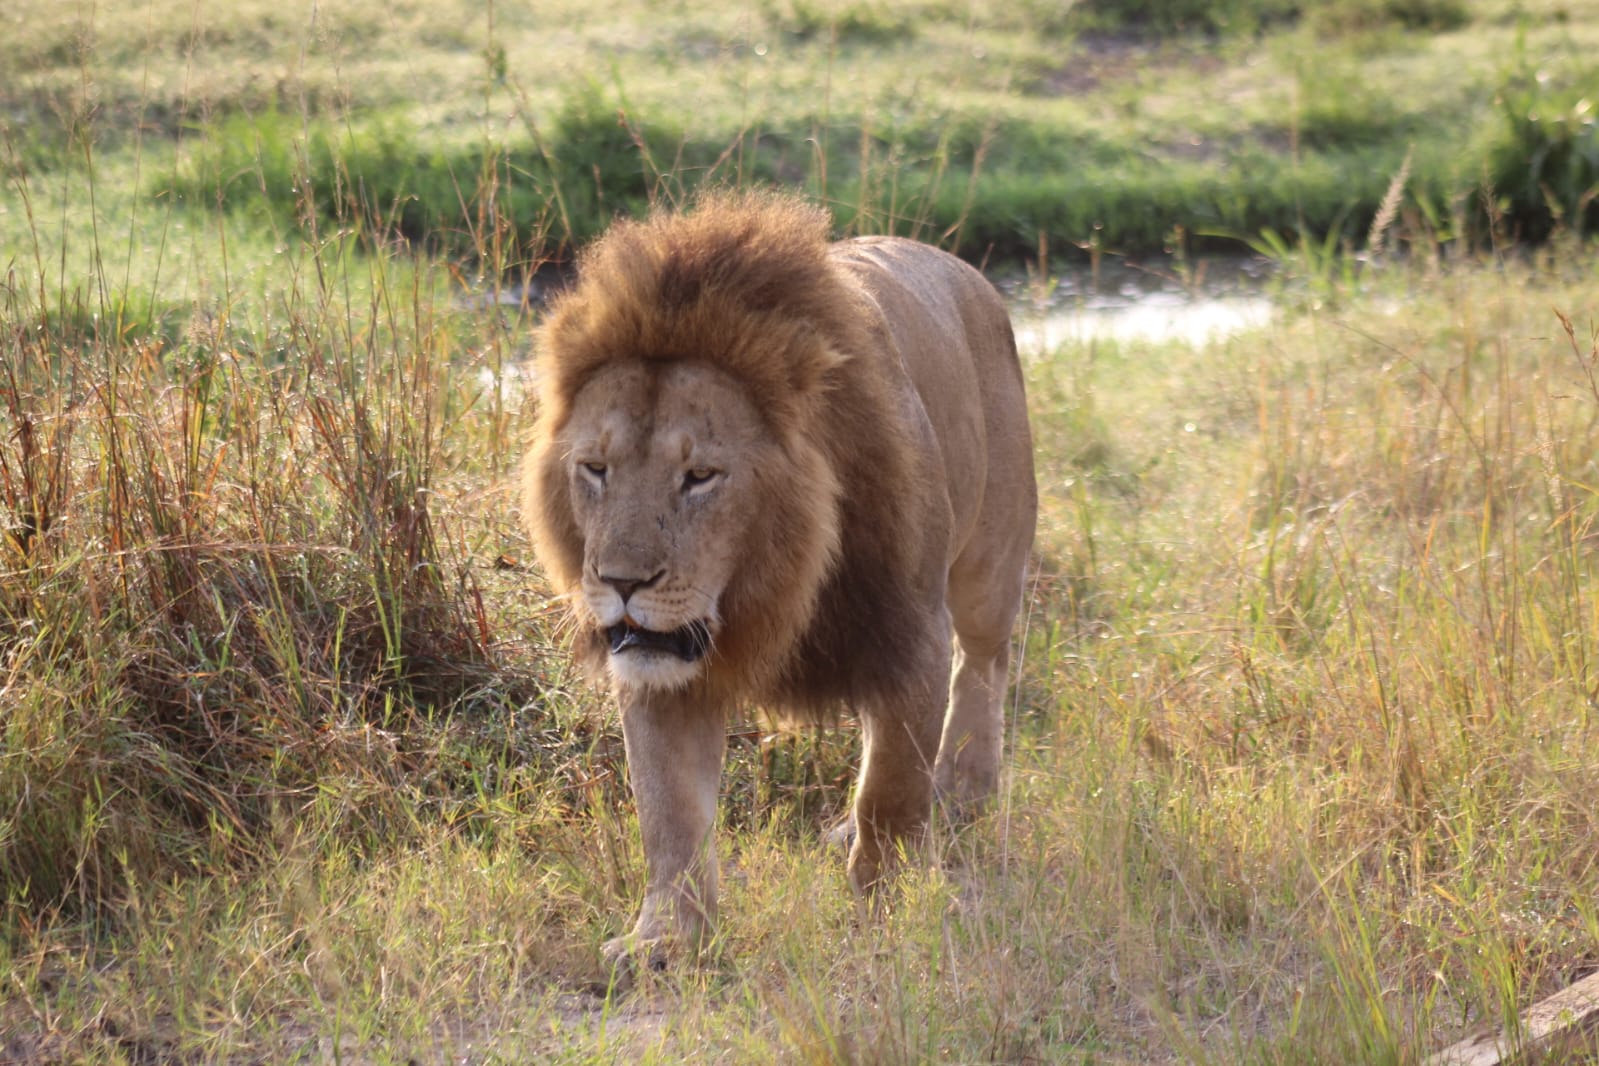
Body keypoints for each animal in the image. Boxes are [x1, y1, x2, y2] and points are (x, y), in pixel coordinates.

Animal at [522, 192, 1037, 966]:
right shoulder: (662, 670)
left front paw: (883, 909)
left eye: (701, 476)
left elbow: (891, 788)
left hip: (988, 567)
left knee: (981, 667)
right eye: (596, 468)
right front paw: (665, 938)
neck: (771, 582)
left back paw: (965, 792)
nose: (620, 582)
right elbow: (668, 810)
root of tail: (963, 269)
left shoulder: (908, 633)